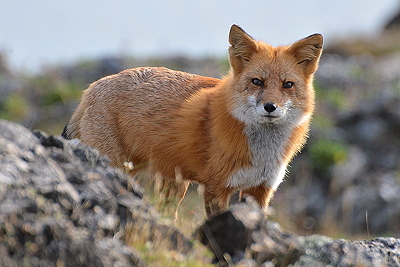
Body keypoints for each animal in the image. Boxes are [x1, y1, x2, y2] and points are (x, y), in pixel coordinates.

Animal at [64, 24, 324, 218]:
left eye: (287, 85)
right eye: (257, 82)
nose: (270, 107)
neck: (261, 152)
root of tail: (94, 86)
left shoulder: (260, 190)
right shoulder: (216, 187)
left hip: (169, 182)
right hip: (121, 167)